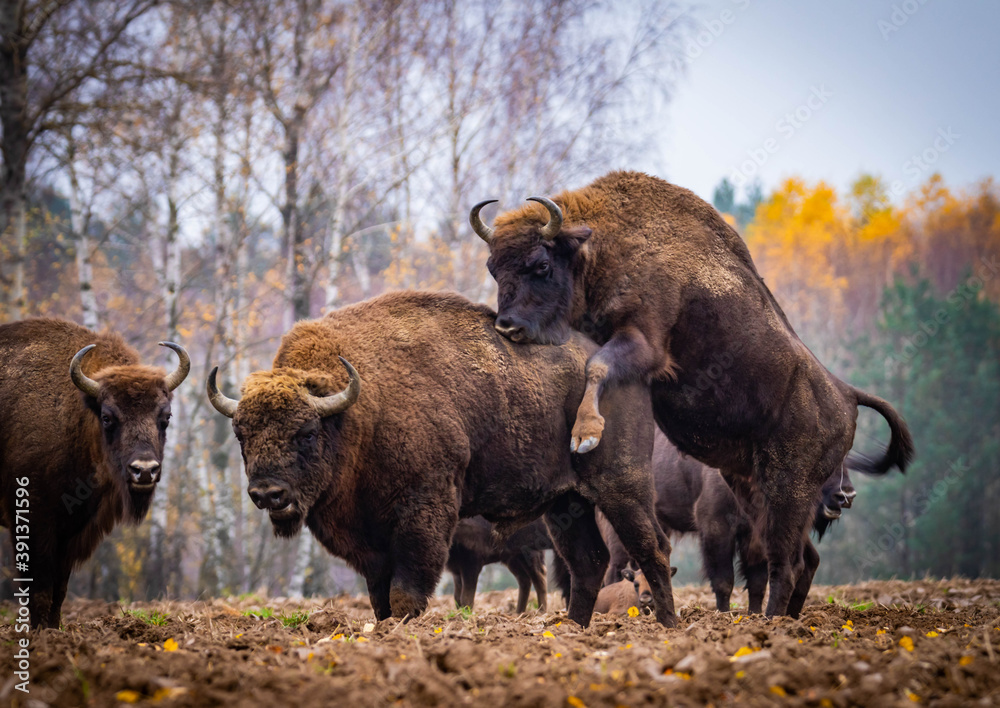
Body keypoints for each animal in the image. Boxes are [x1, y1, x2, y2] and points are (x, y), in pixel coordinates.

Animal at [0, 318, 189, 628]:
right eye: (107, 417)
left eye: (166, 417)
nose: (144, 471)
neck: (76, 415)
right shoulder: (33, 519)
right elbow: (39, 586)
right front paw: (39, 631)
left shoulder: (72, 528)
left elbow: (59, 587)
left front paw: (54, 628)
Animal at [209, 290, 680, 628]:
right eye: (241, 434)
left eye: (306, 433)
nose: (268, 494)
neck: (360, 411)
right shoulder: (369, 541)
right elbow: (379, 597)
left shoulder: (424, 513)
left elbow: (406, 591)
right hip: (567, 502)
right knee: (587, 561)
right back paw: (574, 629)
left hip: (622, 487)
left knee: (652, 548)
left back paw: (668, 624)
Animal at [470, 169, 916, 616]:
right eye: (493, 267)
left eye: (541, 264)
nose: (508, 326)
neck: (604, 248)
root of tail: (847, 395)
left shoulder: (645, 344)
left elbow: (597, 366)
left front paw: (586, 435)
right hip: (753, 488)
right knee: (800, 559)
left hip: (790, 489)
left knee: (786, 563)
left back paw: (773, 622)